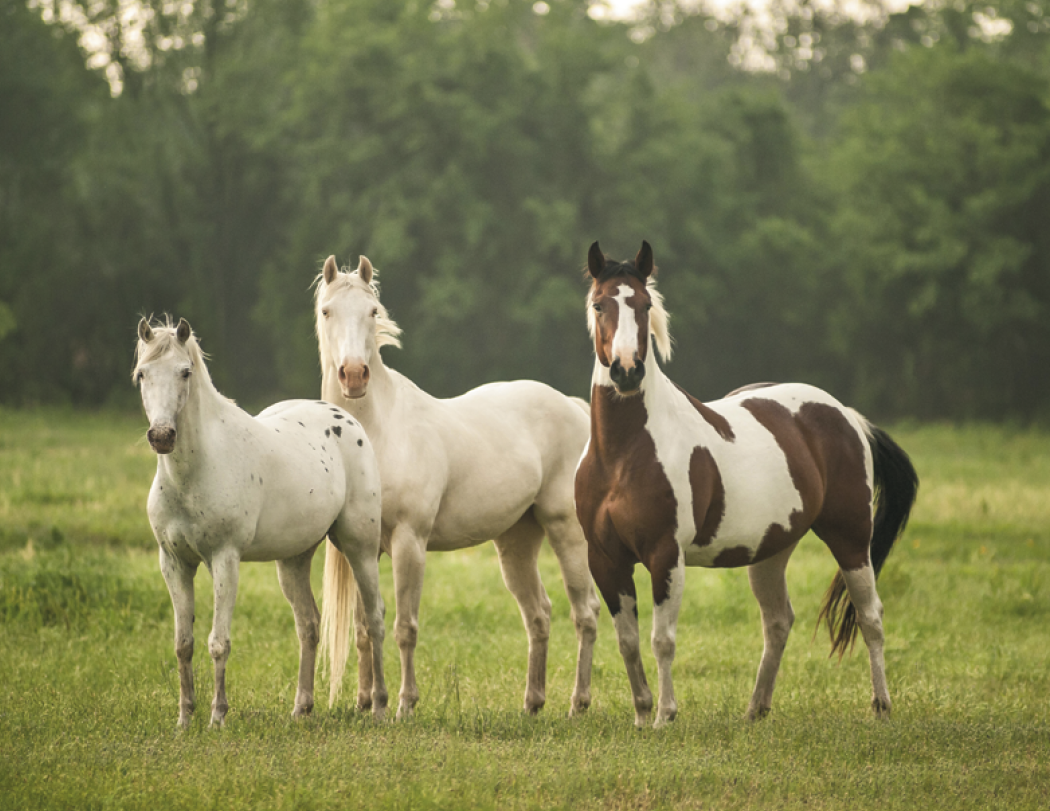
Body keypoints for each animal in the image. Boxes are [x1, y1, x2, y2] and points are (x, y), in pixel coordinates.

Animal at [134, 316, 387, 728]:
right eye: (142, 374)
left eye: (185, 372)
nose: (162, 436)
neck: (193, 473)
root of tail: (346, 419)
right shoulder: (173, 563)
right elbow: (183, 644)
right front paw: (184, 719)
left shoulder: (224, 559)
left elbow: (218, 642)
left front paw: (217, 717)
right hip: (294, 560)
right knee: (309, 625)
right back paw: (301, 708)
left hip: (360, 548)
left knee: (375, 619)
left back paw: (380, 706)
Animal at [314, 255, 601, 719]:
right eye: (327, 312)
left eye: (372, 312)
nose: (354, 375)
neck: (376, 434)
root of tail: (574, 407)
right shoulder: (361, 547)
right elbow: (363, 627)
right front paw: (365, 704)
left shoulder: (410, 543)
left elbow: (404, 626)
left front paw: (404, 706)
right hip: (516, 543)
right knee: (538, 614)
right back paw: (532, 704)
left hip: (566, 532)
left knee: (585, 612)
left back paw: (578, 704)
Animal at [574, 242, 919, 728]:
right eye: (599, 304)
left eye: (644, 305)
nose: (626, 372)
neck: (623, 455)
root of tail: (846, 415)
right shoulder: (606, 559)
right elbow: (627, 641)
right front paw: (641, 715)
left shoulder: (665, 555)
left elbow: (662, 639)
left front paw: (664, 716)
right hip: (771, 551)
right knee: (778, 622)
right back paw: (756, 709)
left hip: (851, 538)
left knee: (869, 616)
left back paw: (882, 706)